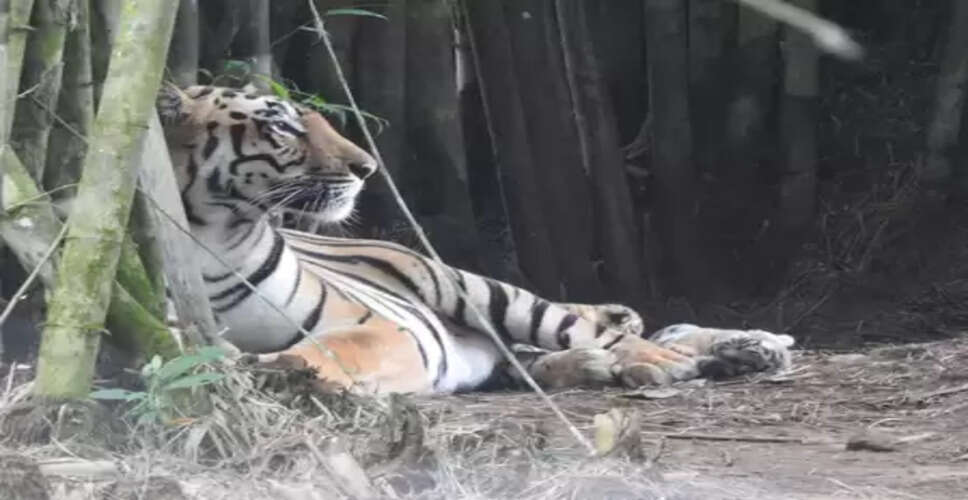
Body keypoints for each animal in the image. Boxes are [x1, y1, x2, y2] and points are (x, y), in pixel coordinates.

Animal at [157, 84, 793, 394]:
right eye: (281, 125)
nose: (367, 168)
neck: (216, 238)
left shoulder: (375, 323)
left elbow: (330, 350)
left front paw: (279, 371)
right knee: (543, 353)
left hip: (472, 289)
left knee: (607, 328)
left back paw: (700, 357)